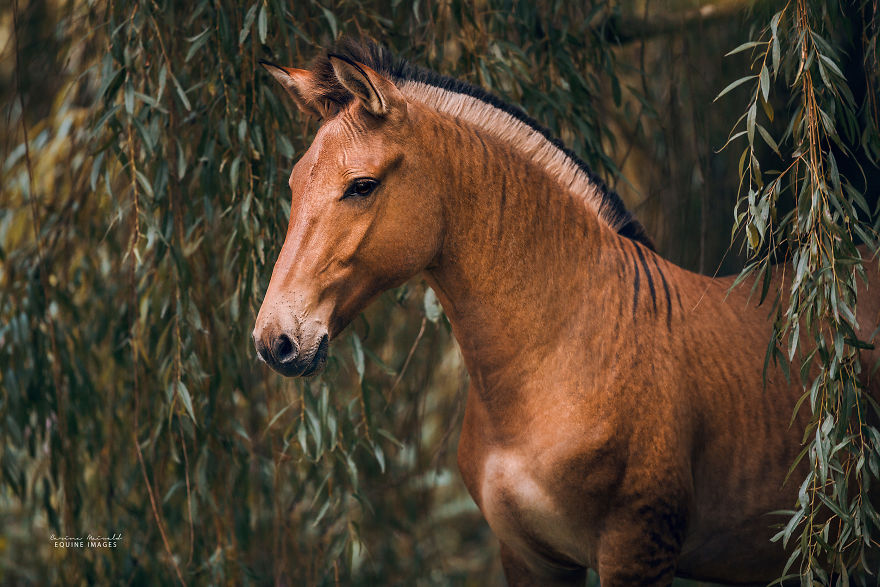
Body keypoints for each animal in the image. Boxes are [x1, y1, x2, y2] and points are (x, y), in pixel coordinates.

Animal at [251, 39, 876, 584]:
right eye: (295, 183)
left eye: (361, 185)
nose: (275, 340)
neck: (562, 352)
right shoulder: (530, 558)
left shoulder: (636, 554)